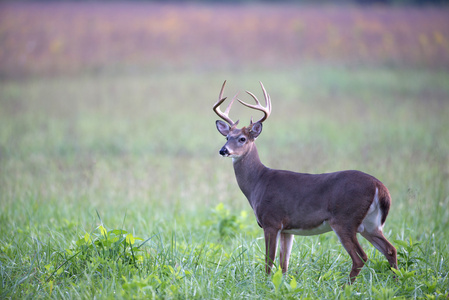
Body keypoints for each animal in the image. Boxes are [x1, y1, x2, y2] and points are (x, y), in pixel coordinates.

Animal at [212, 81, 398, 282]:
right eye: (226, 137)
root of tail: (380, 187)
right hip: (370, 224)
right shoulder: (287, 229)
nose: (223, 150)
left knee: (361, 257)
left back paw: (346, 286)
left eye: (242, 138)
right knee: (390, 249)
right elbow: (283, 264)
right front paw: (281, 284)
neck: (258, 183)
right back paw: (397, 281)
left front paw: (265, 283)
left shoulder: (271, 221)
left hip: (345, 219)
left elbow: (269, 262)